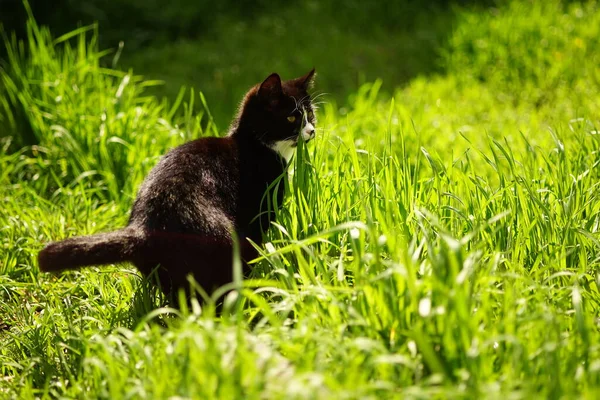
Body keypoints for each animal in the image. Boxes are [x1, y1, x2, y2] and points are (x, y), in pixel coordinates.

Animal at [39, 70, 316, 304]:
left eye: (311, 114)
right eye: (292, 117)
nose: (312, 130)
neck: (255, 145)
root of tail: (144, 228)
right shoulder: (258, 213)